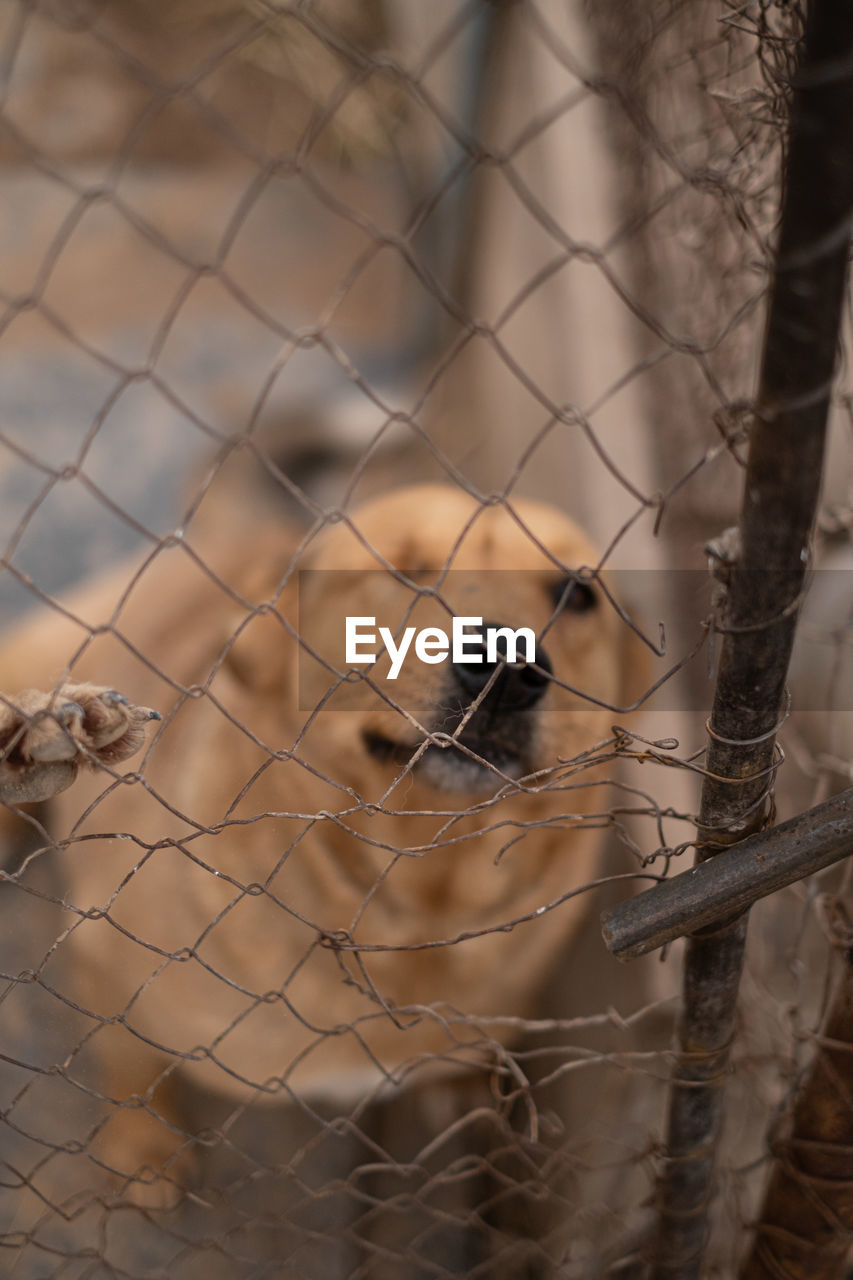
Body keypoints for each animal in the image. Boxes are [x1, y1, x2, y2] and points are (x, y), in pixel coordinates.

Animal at [0, 483, 635, 1203]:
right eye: (399, 570)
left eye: (576, 594)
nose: (504, 668)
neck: (412, 908)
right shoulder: (100, 953)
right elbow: (127, 1064)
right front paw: (144, 1148)